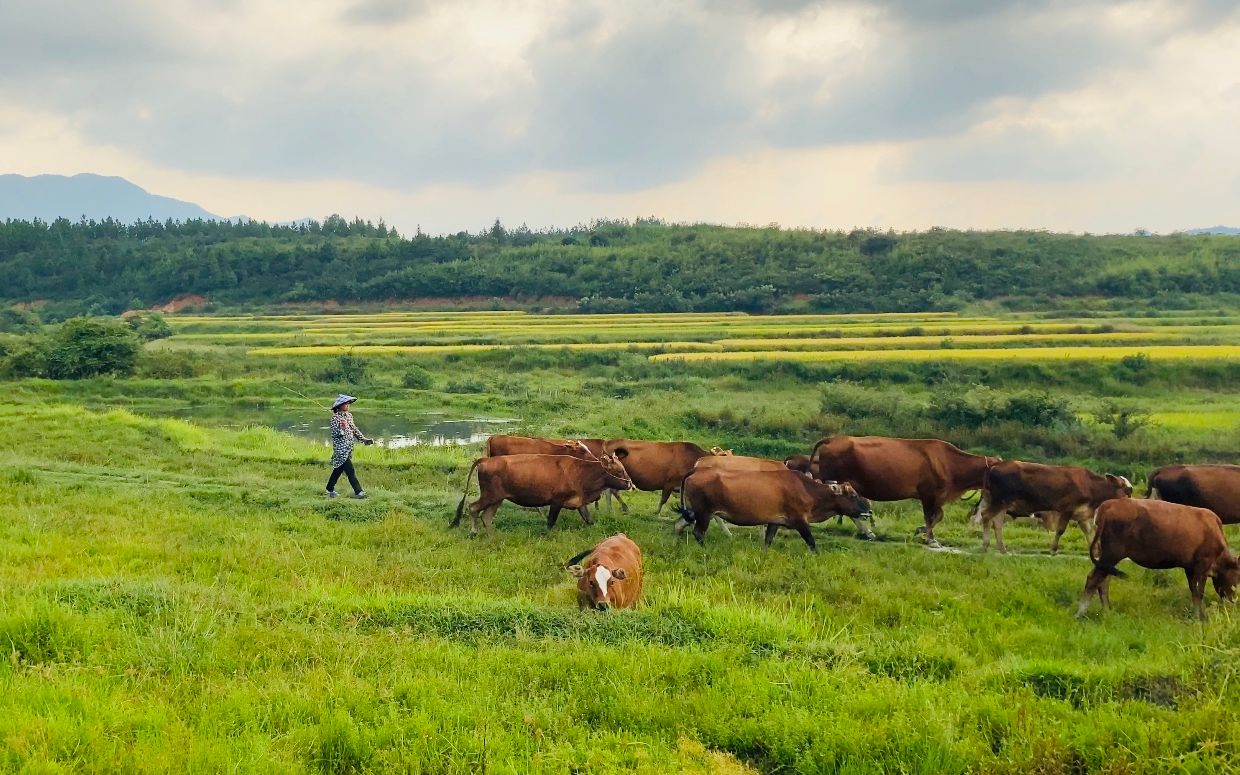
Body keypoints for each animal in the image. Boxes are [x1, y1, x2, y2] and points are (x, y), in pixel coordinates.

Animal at [451, 451, 634, 535]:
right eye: (619, 470)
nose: (631, 485)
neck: (581, 472)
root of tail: (485, 460)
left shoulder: (579, 501)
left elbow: (589, 519)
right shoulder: (557, 501)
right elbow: (550, 522)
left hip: (497, 498)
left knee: (486, 516)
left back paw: (493, 535)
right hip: (489, 495)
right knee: (473, 508)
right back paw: (473, 532)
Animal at [679, 466, 872, 550]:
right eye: (853, 495)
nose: (868, 511)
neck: (807, 489)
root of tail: (696, 471)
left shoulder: (774, 521)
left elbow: (768, 540)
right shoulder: (799, 520)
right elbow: (811, 541)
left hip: (695, 512)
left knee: (679, 525)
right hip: (704, 512)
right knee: (698, 533)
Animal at [808, 431, 1001, 548]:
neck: (950, 463)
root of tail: (833, 439)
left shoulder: (937, 497)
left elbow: (938, 516)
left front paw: (921, 532)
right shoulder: (927, 494)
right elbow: (930, 517)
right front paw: (931, 539)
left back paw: (868, 533)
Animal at [1076, 498, 1240, 620]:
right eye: (1238, 577)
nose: (1234, 600)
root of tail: (1108, 505)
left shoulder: (1190, 567)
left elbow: (1194, 592)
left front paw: (1196, 616)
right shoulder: (1202, 565)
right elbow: (1199, 593)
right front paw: (1202, 618)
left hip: (1106, 557)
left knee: (1103, 581)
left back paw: (1107, 611)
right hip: (1111, 554)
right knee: (1094, 579)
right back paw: (1080, 614)